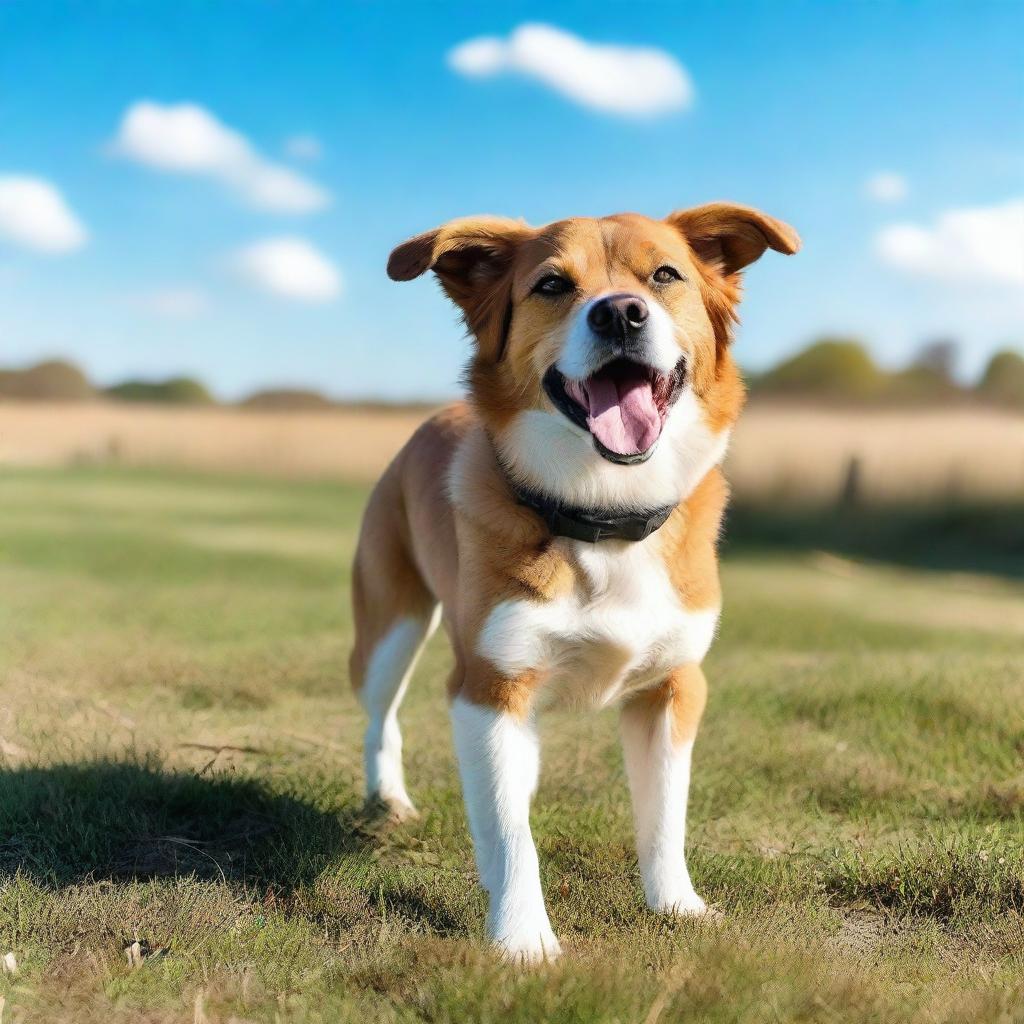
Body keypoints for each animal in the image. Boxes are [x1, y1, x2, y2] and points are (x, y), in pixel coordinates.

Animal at [352, 205, 798, 958]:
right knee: (382, 715)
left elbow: (664, 816)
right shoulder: (490, 686)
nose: (620, 312)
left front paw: (677, 906)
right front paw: (522, 939)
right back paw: (390, 800)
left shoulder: (674, 688)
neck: (606, 512)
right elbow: (510, 834)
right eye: (553, 284)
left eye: (665, 275)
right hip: (393, 624)